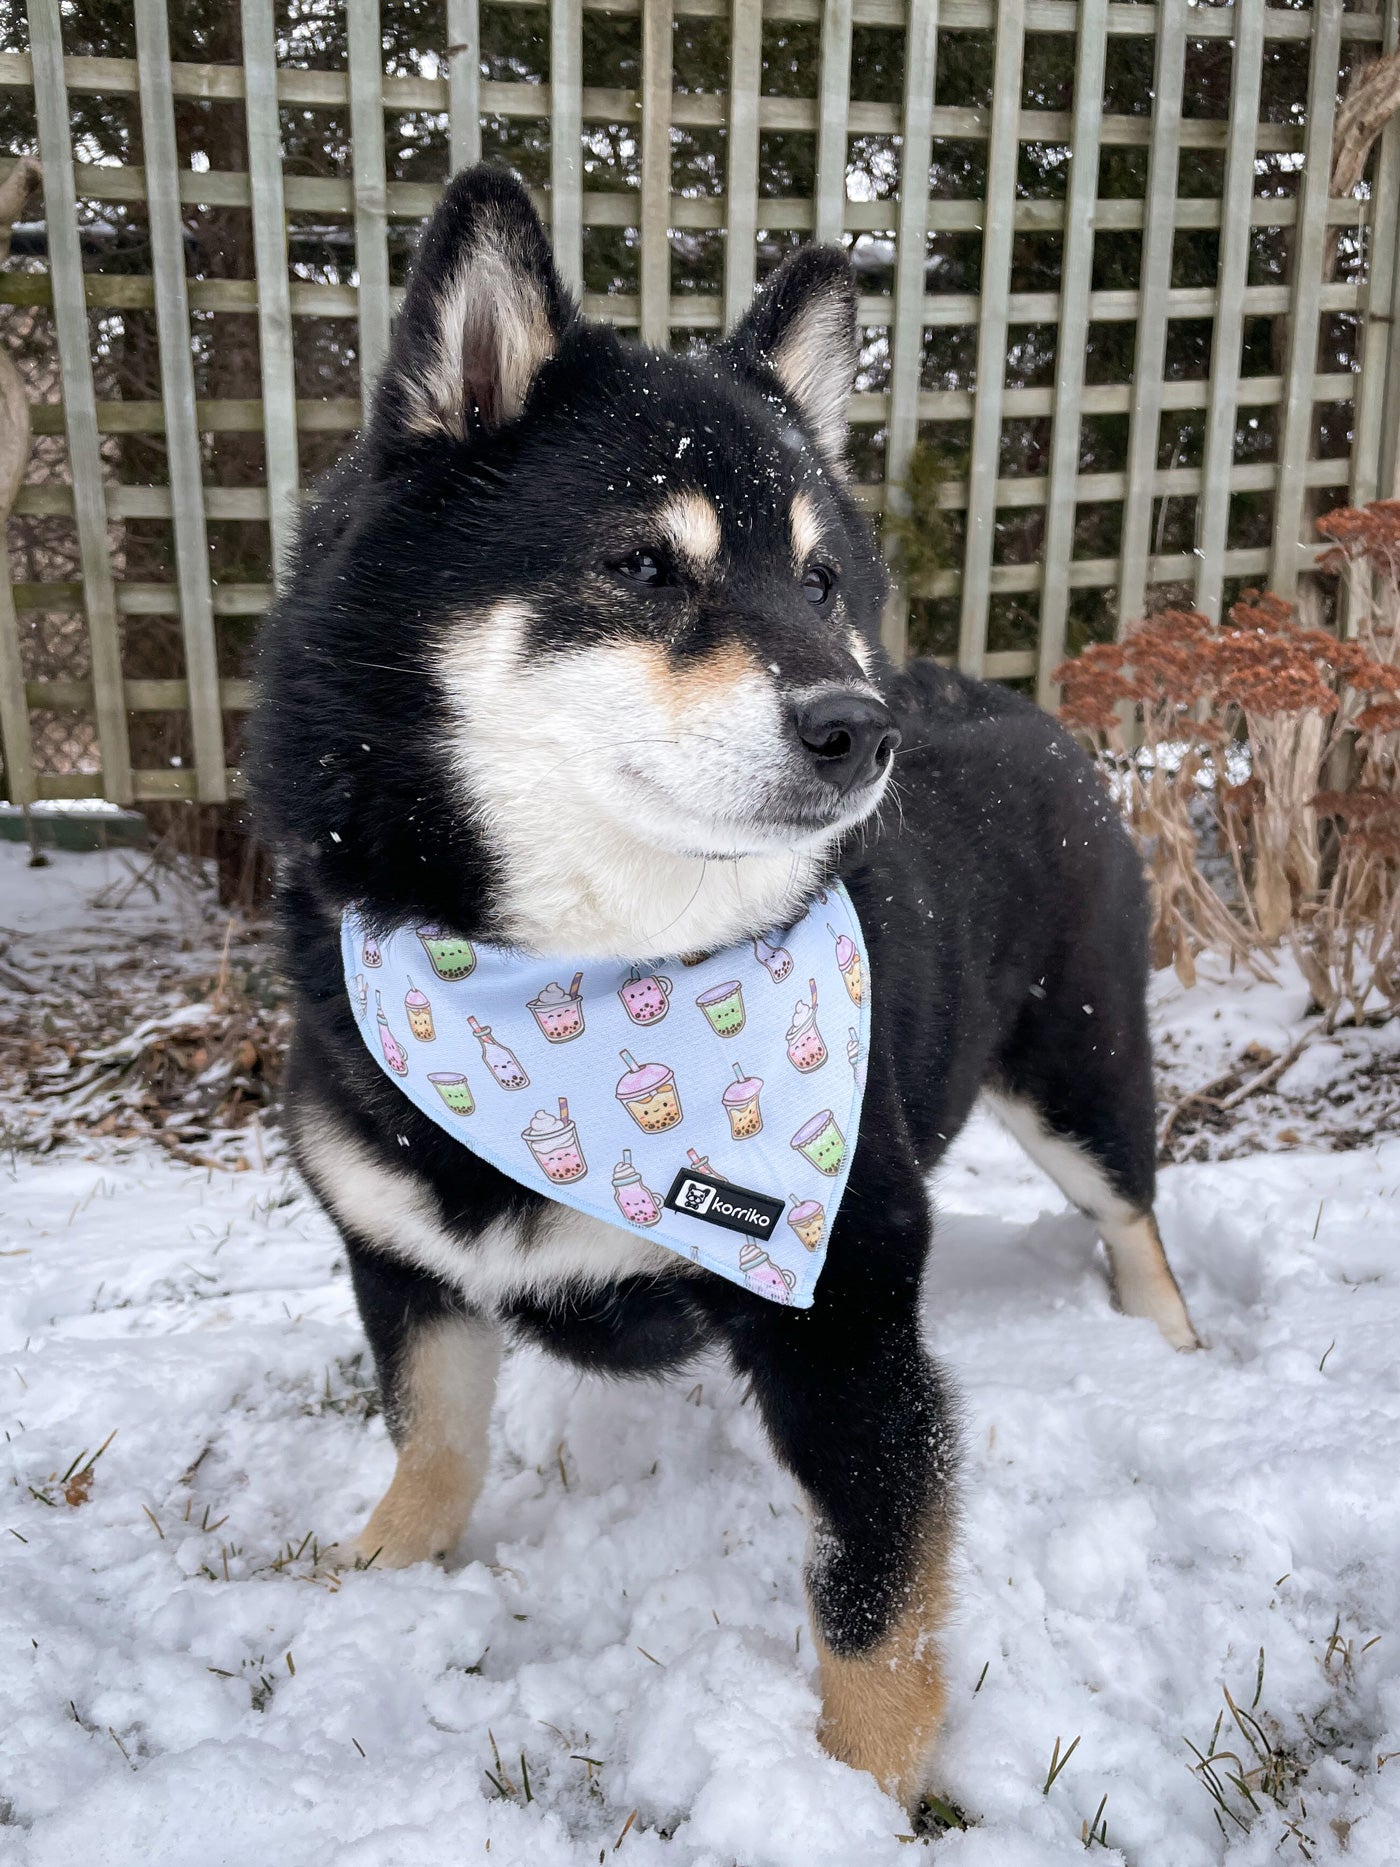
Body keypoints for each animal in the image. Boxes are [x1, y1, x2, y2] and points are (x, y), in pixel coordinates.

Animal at [246, 164, 1202, 1807]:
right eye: (643, 564)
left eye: (821, 579)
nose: (860, 727)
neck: (567, 987)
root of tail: (1024, 704)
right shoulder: (398, 1258)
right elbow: (433, 1439)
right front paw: (379, 1574)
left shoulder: (847, 1305)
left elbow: (872, 1591)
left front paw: (862, 1796)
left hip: (1079, 1067)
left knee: (1135, 1216)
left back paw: (1179, 1356)